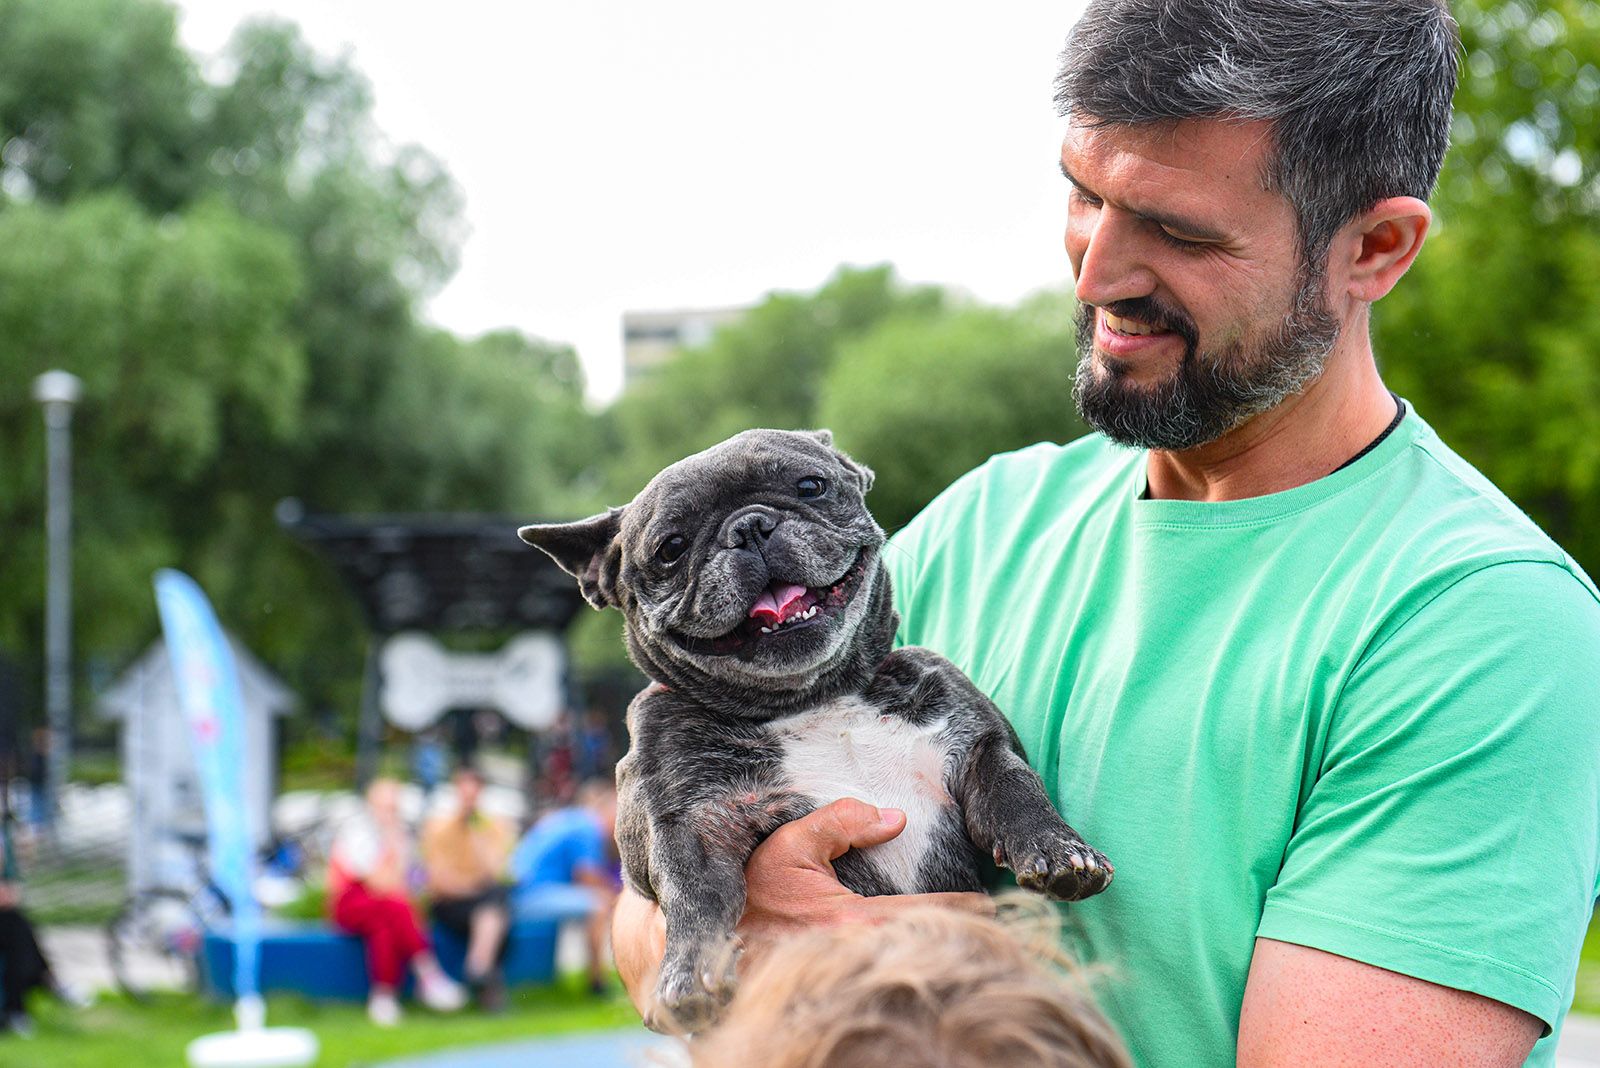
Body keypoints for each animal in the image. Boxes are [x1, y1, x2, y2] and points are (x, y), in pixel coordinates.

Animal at [521, 428, 1113, 1029]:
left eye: (811, 486)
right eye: (671, 548)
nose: (749, 526)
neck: (818, 699)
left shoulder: (975, 741)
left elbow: (1013, 784)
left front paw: (1058, 849)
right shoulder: (684, 818)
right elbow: (691, 889)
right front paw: (690, 972)